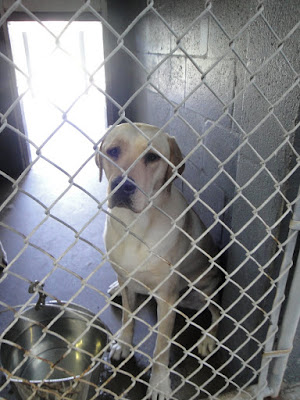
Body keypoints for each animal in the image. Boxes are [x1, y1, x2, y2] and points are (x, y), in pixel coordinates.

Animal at [96, 123, 223, 398]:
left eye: (152, 157)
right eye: (113, 151)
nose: (122, 185)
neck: (134, 226)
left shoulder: (166, 298)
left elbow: (161, 349)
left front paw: (159, 384)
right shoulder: (126, 277)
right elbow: (127, 318)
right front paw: (124, 343)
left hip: (205, 286)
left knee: (217, 312)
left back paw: (208, 338)